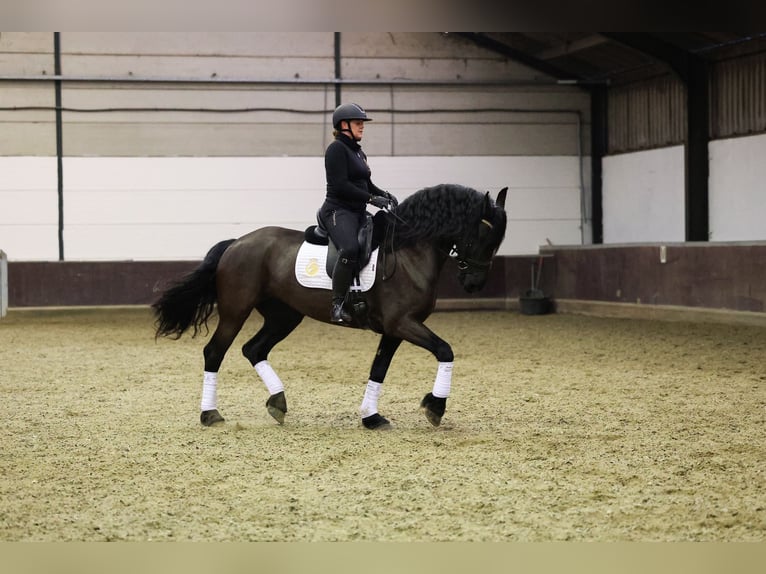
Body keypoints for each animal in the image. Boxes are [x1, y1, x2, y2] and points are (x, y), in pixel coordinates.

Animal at [152, 183, 508, 430]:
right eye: (482, 236)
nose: (474, 284)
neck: (409, 252)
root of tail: (237, 243)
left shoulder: (395, 329)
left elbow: (379, 369)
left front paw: (371, 417)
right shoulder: (403, 323)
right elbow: (445, 350)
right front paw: (435, 408)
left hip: (285, 316)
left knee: (254, 349)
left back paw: (277, 403)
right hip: (236, 310)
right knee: (215, 352)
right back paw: (210, 414)